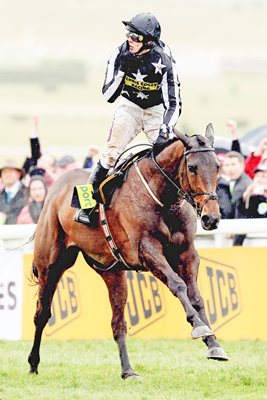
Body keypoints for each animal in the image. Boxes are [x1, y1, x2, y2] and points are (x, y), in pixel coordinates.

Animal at [28, 123, 229, 380]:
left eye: (217, 166)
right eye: (192, 168)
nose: (211, 218)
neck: (162, 197)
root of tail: (55, 189)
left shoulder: (187, 253)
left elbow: (196, 296)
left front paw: (214, 343)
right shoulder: (147, 251)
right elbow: (178, 285)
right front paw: (199, 325)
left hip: (112, 272)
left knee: (118, 324)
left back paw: (128, 370)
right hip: (51, 265)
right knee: (42, 313)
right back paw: (33, 363)